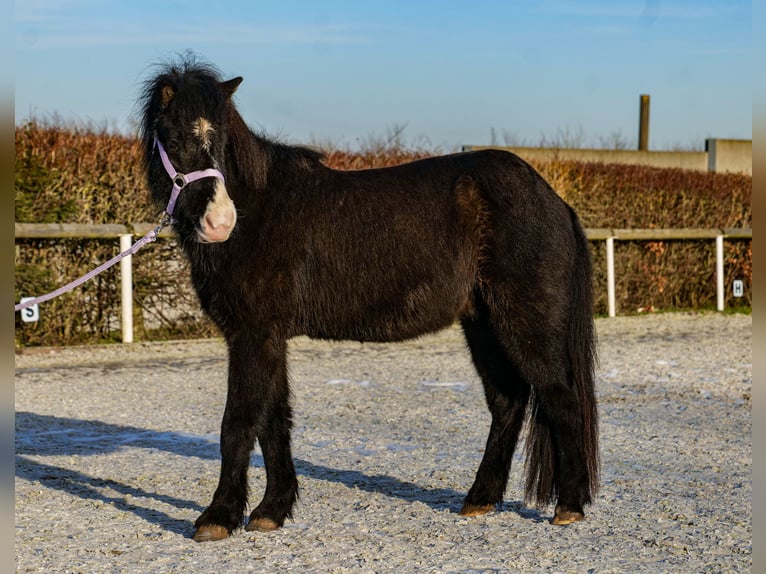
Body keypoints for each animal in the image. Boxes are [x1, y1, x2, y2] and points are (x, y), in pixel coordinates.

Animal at [142, 58, 600, 544]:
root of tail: (553, 201)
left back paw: (569, 506)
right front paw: (272, 510)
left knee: (561, 398)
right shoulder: (268, 337)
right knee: (508, 402)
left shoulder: (253, 334)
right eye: (174, 139)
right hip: (483, 325)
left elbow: (239, 421)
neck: (260, 212)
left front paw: (218, 517)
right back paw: (480, 499)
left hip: (526, 321)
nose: (220, 222)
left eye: (221, 142)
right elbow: (274, 419)